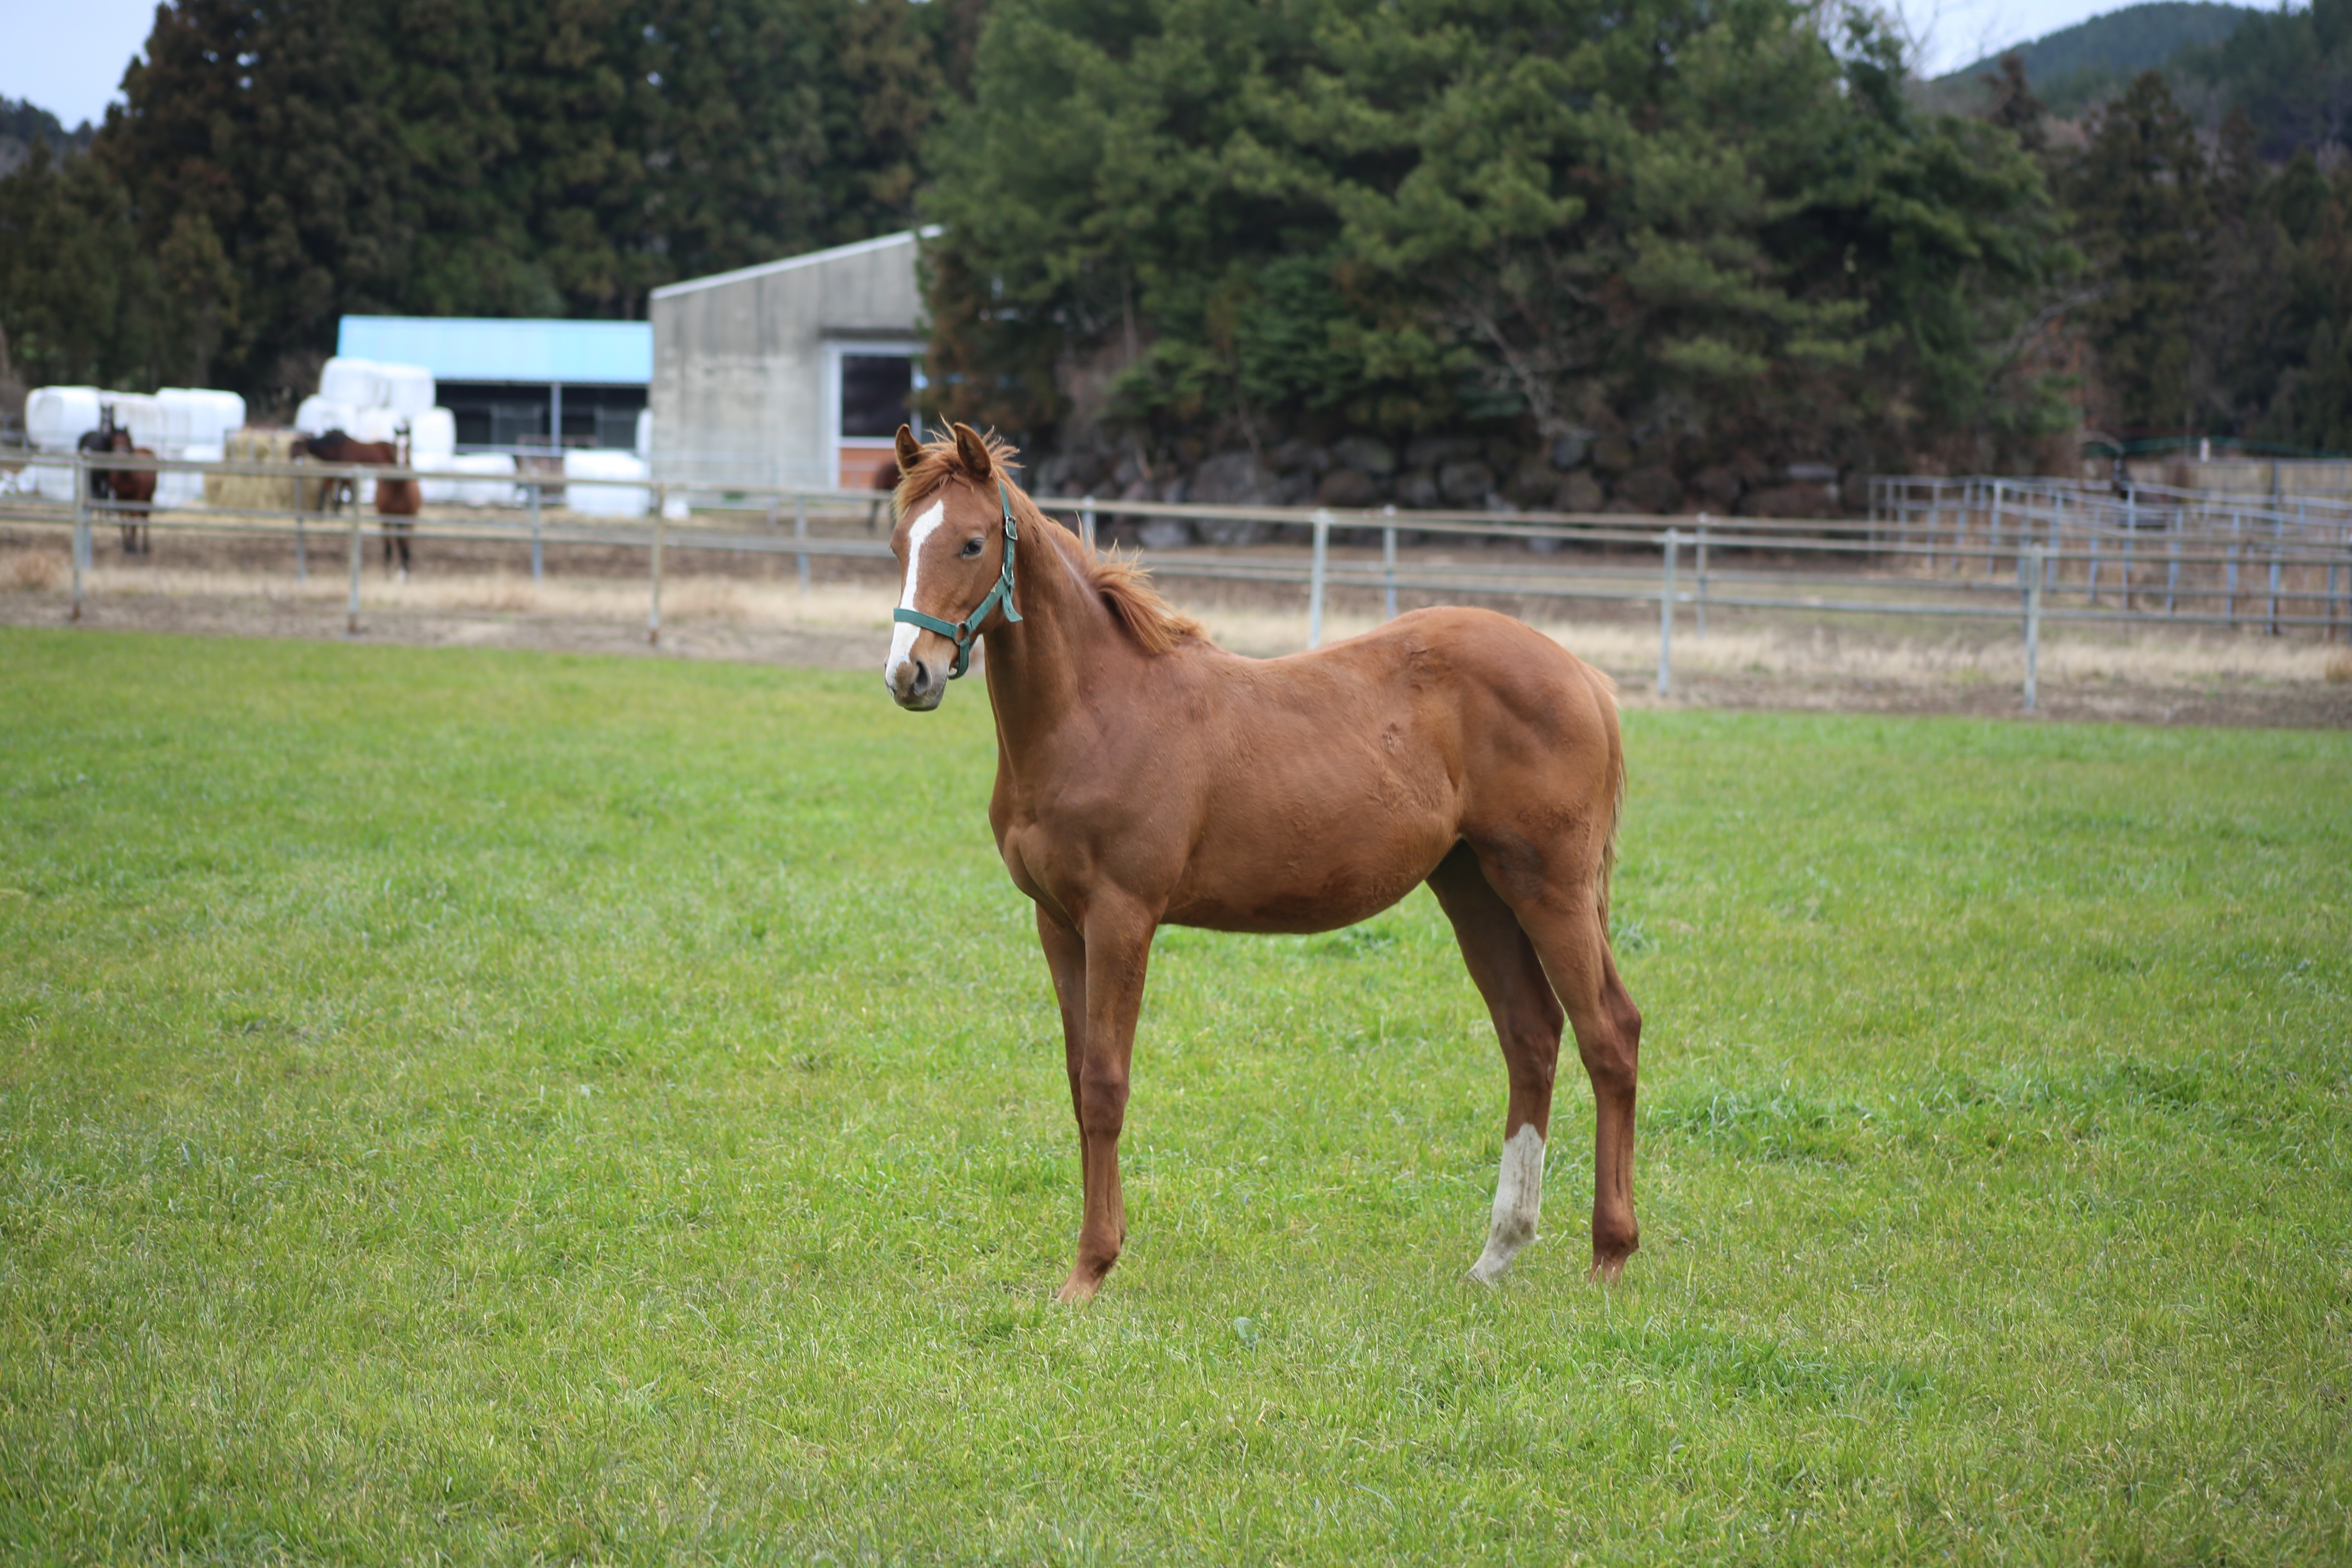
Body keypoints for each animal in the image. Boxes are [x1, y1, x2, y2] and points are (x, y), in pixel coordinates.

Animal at [880, 423, 1637, 1307]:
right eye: (899, 542)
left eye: (971, 543)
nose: (910, 675)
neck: (1096, 711)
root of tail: (1583, 676)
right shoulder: (1057, 922)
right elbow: (1076, 1082)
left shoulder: (1122, 918)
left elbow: (1105, 1086)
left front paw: (1090, 1271)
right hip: (1475, 887)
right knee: (1531, 1037)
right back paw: (1498, 1252)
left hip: (1551, 887)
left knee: (1608, 1033)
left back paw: (1610, 1253)